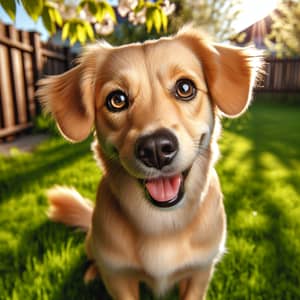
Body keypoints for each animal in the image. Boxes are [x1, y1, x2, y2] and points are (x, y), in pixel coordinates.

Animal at [37, 27, 262, 298]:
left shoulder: (200, 271)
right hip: (93, 242)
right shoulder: (118, 278)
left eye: (185, 87)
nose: (155, 149)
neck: (162, 223)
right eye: (117, 100)